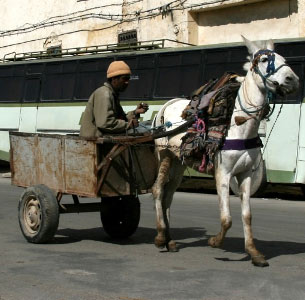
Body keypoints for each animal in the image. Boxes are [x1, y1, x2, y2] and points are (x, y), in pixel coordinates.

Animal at [151, 37, 298, 268]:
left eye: (284, 58)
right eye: (264, 60)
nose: (293, 80)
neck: (238, 124)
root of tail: (168, 104)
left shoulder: (246, 174)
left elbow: (247, 215)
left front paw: (254, 253)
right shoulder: (223, 173)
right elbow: (226, 218)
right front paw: (215, 241)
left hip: (179, 162)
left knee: (168, 195)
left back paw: (170, 240)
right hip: (164, 154)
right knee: (158, 190)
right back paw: (159, 238)